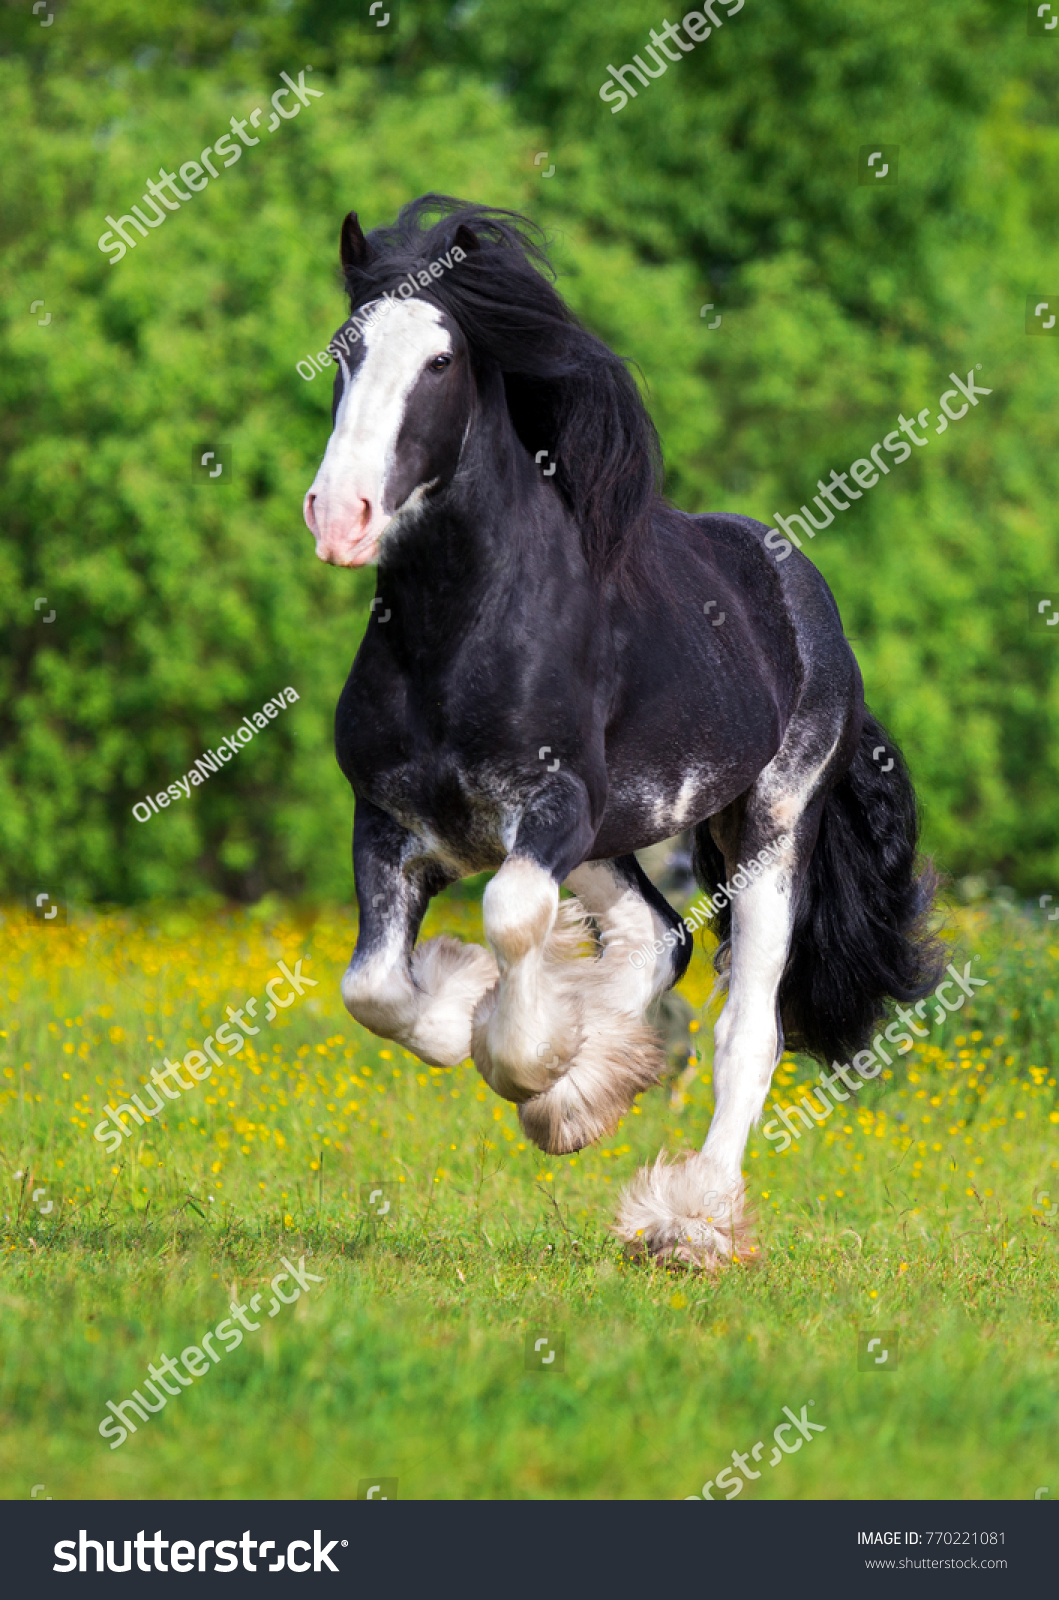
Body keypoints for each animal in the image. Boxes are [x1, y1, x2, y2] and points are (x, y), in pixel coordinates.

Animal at [302, 200, 940, 1267]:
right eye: (346, 351)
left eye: (439, 361)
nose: (339, 516)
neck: (458, 634)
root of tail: (801, 595)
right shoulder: (388, 822)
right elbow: (375, 989)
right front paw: (529, 1051)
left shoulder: (551, 806)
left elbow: (511, 916)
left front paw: (532, 1062)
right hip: (611, 837)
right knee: (657, 938)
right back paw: (600, 1082)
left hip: (768, 828)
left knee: (747, 1029)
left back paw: (689, 1221)